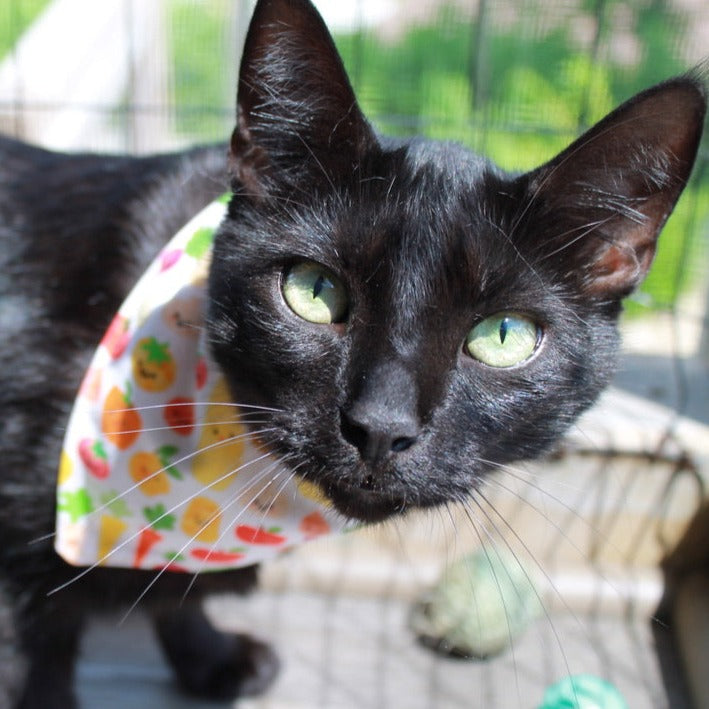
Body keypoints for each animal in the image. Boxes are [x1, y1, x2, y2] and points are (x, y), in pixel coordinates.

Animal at [0, 0, 704, 704]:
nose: (380, 428)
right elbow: (40, 666)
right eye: (314, 291)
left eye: (503, 337)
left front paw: (209, 656)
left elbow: (178, 592)